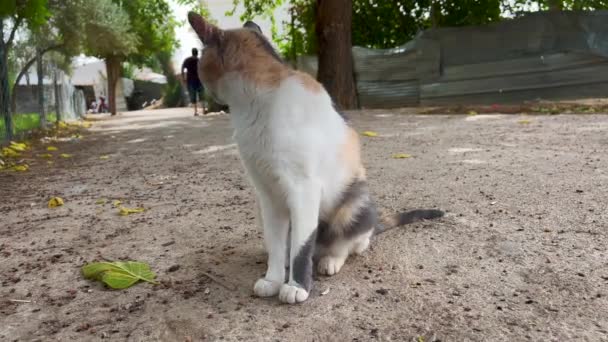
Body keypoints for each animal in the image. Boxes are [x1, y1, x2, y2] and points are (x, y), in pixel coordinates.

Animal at [188, 12, 444, 304]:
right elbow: (276, 244)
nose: (207, 94)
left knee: (353, 242)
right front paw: (273, 279)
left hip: (355, 200)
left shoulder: (303, 188)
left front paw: (297, 286)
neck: (253, 106)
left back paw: (330, 260)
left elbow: (302, 245)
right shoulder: (267, 193)